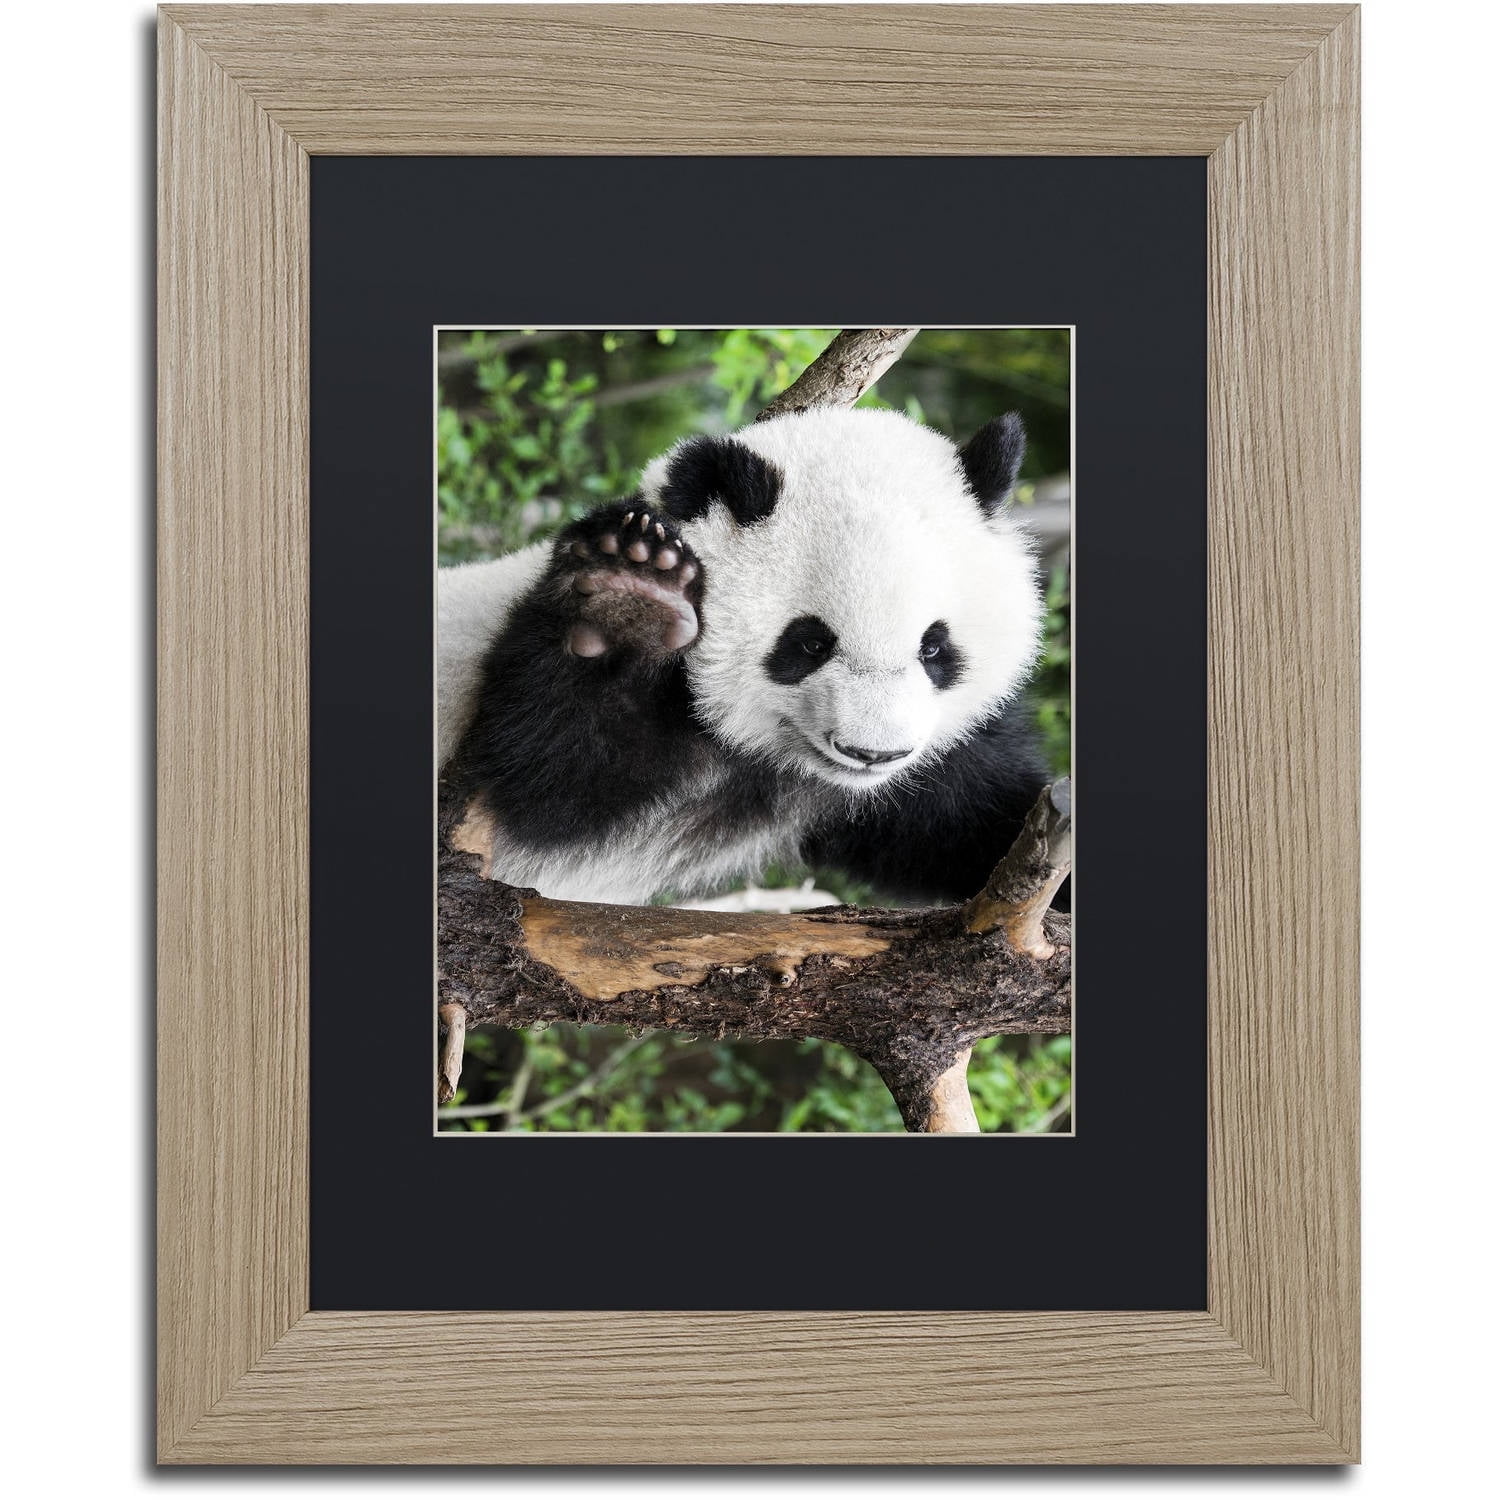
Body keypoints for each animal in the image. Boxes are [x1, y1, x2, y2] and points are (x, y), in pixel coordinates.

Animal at [438, 406, 1055, 907]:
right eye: (809, 643)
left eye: (933, 646)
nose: (872, 753)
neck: (756, 759)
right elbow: (545, 778)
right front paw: (628, 603)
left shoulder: (929, 769)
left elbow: (982, 820)